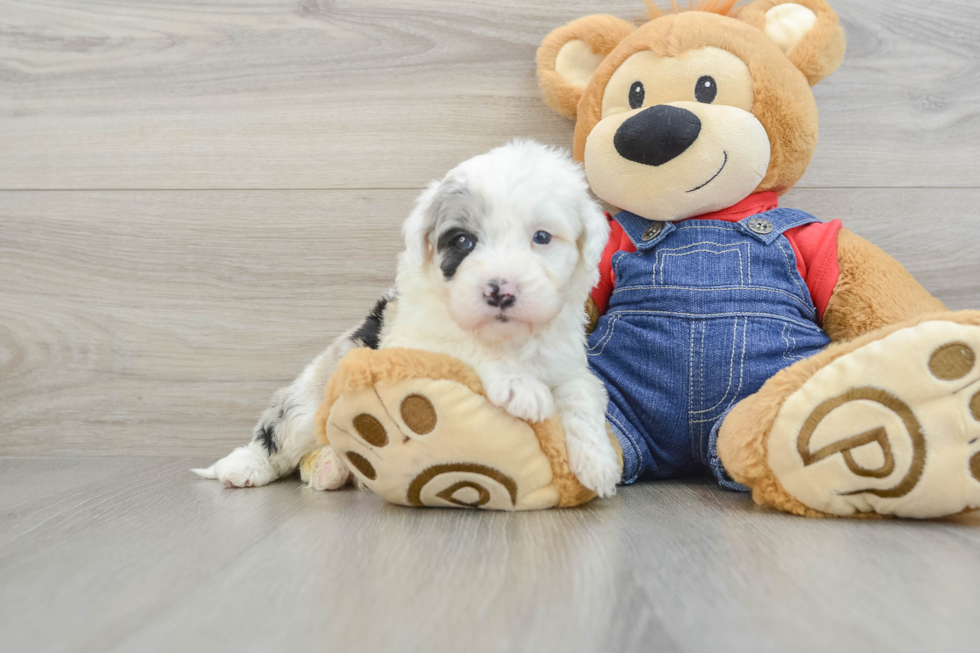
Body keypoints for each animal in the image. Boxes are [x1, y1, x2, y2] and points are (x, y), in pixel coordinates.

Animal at [194, 141, 616, 494]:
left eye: (542, 237)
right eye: (463, 241)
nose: (500, 291)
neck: (509, 338)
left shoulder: (567, 362)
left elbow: (582, 393)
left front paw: (598, 463)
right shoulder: (414, 341)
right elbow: (462, 345)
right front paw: (519, 385)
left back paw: (334, 466)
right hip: (309, 398)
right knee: (278, 433)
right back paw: (245, 466)